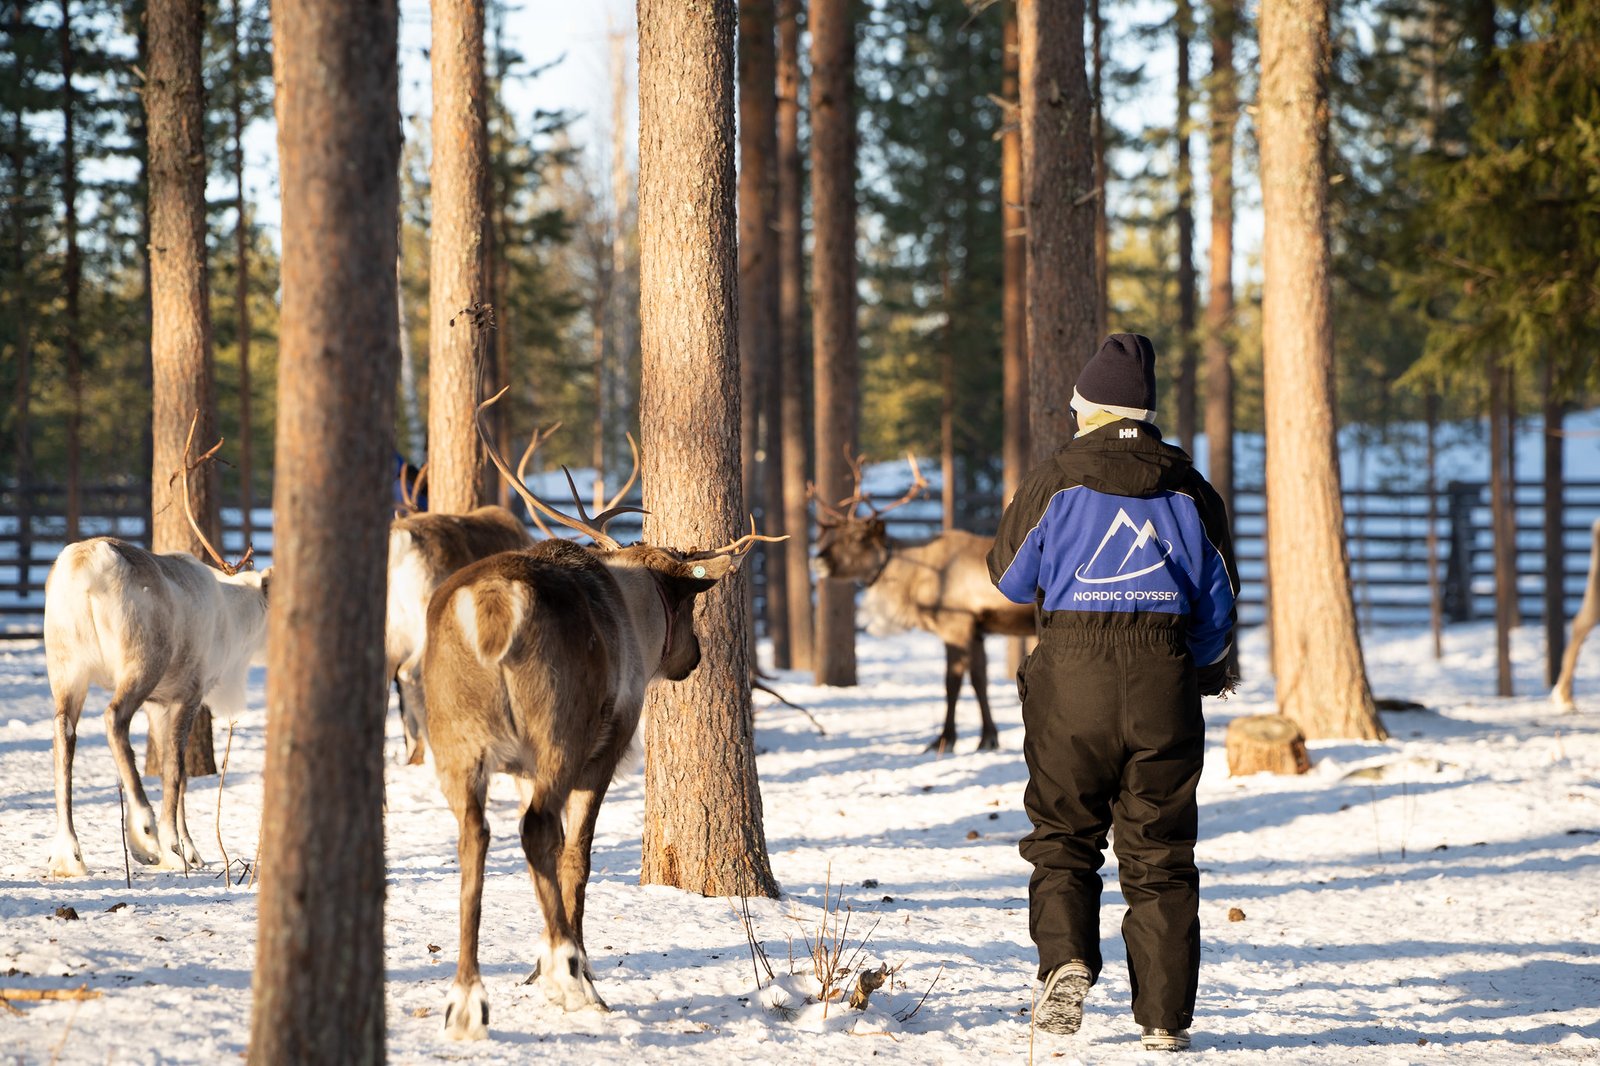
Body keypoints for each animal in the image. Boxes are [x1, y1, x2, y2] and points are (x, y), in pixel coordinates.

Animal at [42, 414, 269, 876]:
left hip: (67, 666)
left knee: (64, 732)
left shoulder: (159, 704)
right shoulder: (188, 693)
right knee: (113, 720)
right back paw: (143, 832)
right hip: (142, 660)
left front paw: (182, 847)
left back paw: (68, 853)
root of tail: (83, 568)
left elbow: (170, 770)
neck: (233, 617)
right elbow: (176, 773)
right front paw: (179, 848)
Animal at [424, 381, 782, 1040]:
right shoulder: (607, 748)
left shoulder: (518, 769)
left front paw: (538, 963)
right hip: (558, 733)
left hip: (457, 742)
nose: (693, 657)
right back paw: (575, 983)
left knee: (474, 837)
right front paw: (564, 962)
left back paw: (466, 999)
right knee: (536, 830)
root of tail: (492, 603)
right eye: (689, 608)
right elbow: (577, 856)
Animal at [811, 453, 1034, 753]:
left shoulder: (955, 626)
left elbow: (952, 683)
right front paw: (988, 738)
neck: (913, 577)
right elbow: (980, 681)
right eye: (834, 536)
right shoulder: (976, 630)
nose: (818, 560)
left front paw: (944, 740)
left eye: (859, 538)